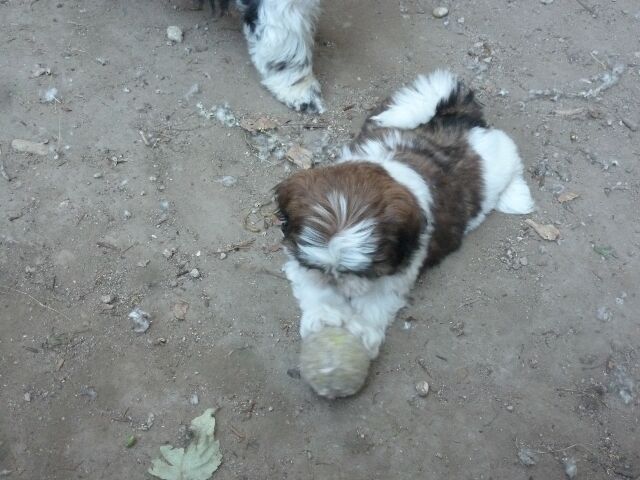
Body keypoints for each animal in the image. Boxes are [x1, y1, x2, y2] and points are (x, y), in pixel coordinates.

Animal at [275, 70, 535, 359]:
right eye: (322, 269)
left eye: (365, 273)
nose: (336, 282)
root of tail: (456, 118)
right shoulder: (300, 260)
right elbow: (312, 286)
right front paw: (324, 316)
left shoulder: (395, 273)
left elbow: (375, 302)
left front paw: (361, 331)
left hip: (497, 161)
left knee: (512, 161)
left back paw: (516, 197)